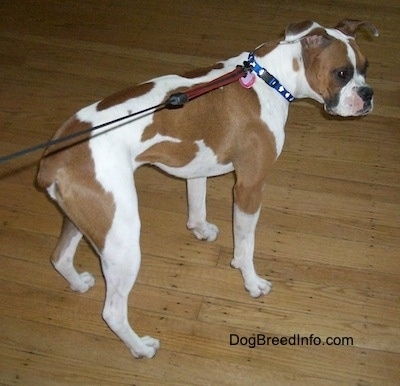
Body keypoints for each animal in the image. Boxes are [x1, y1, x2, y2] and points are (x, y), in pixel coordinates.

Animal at [36, 19, 378, 358]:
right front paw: (251, 282)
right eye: (342, 73)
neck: (269, 78)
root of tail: (54, 159)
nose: (368, 94)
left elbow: (196, 206)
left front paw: (200, 230)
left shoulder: (197, 167)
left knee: (60, 257)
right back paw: (141, 348)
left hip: (91, 219)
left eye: (365, 67)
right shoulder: (249, 188)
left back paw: (79, 284)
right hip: (122, 239)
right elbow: (245, 245)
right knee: (113, 312)